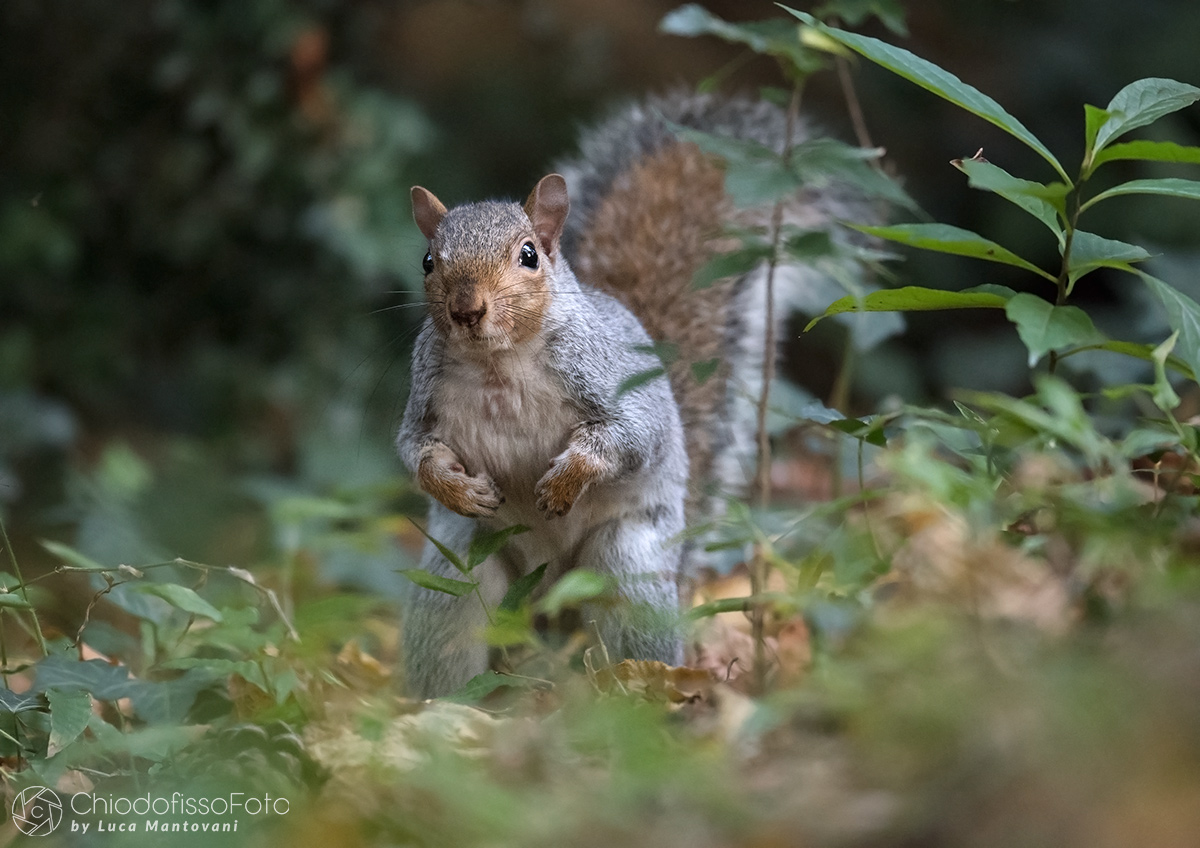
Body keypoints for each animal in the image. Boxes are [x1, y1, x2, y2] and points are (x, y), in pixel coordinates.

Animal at [397, 92, 869, 698]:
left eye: (528, 255)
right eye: (428, 261)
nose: (465, 309)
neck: (498, 363)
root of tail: (551, 609)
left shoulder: (611, 378)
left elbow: (633, 435)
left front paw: (567, 479)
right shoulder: (424, 396)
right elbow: (415, 450)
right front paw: (453, 486)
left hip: (627, 564)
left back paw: (639, 693)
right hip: (456, 574)